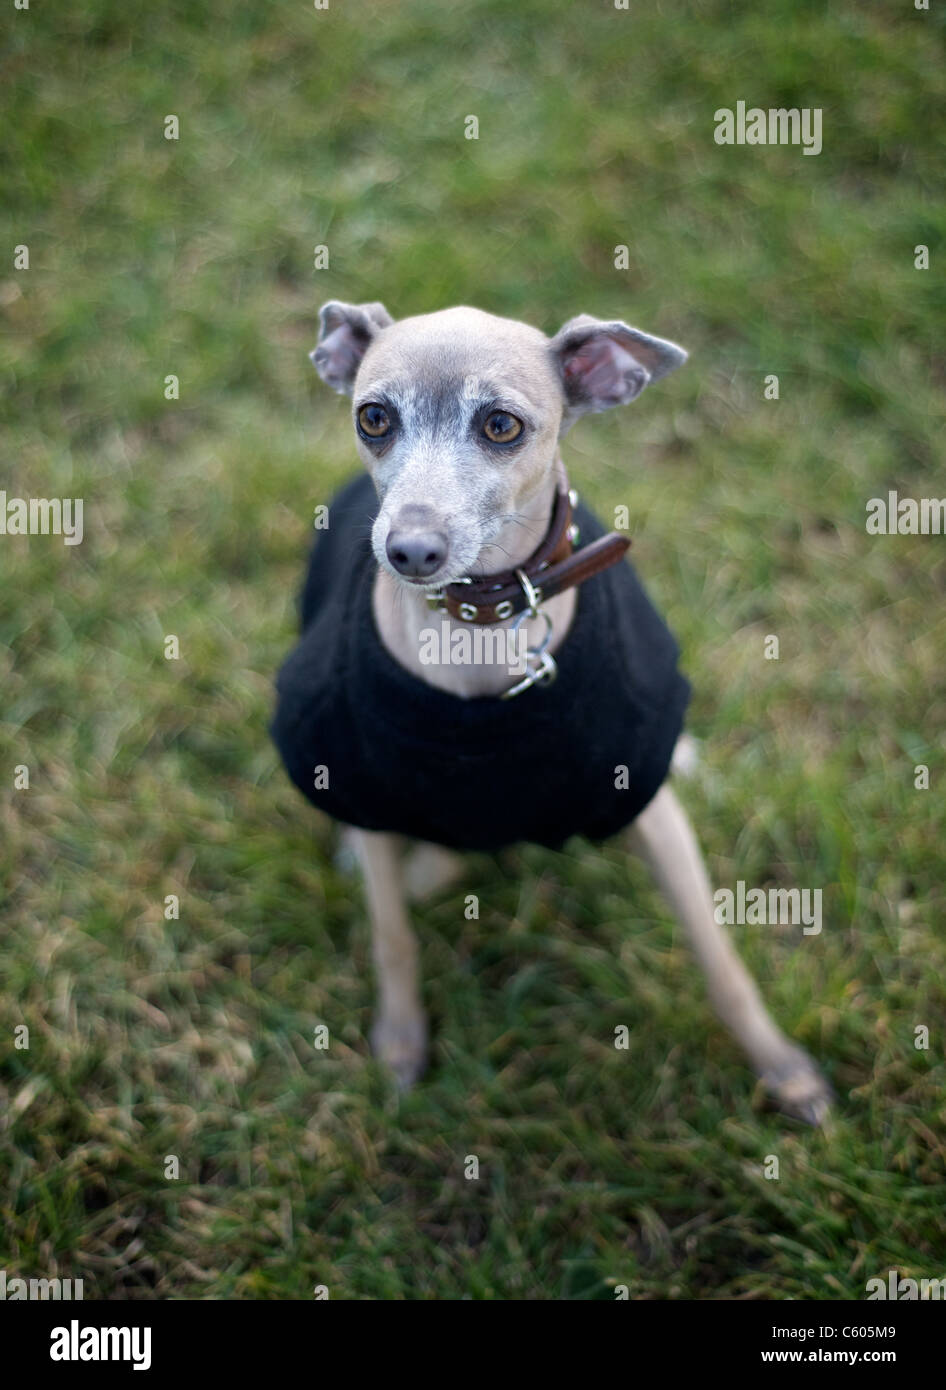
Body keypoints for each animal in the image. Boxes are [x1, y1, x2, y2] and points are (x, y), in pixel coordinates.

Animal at [269, 298, 827, 1123]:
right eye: (374, 416)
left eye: (501, 425)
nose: (410, 551)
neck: (480, 639)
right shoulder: (363, 785)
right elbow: (392, 937)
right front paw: (400, 1043)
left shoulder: (649, 807)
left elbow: (717, 952)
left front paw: (782, 1066)